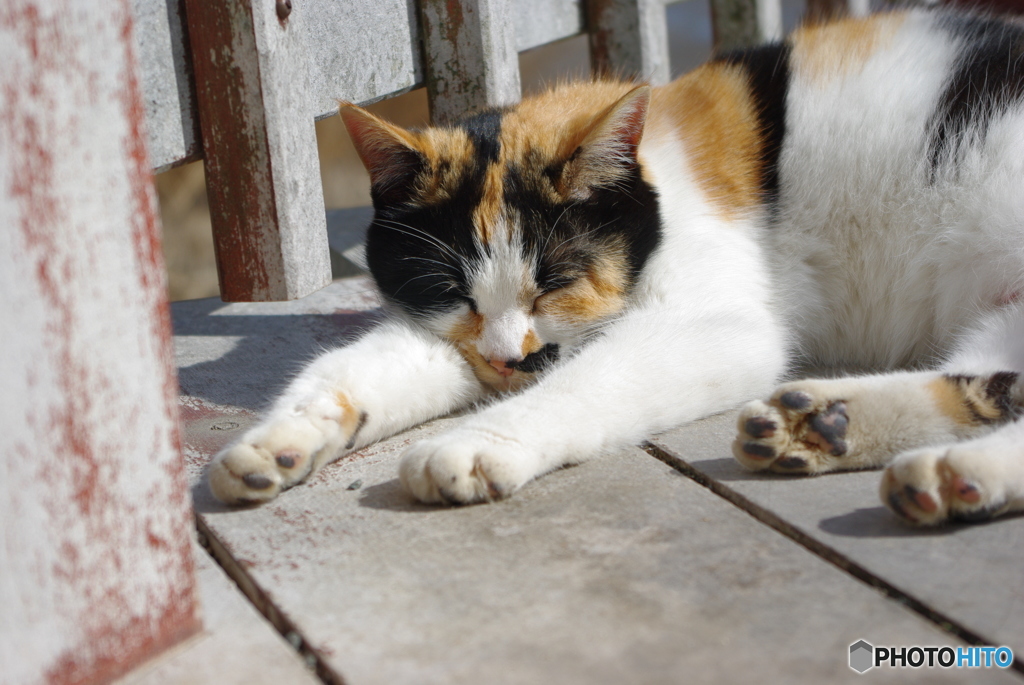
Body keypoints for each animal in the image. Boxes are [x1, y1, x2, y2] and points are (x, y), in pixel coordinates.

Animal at [205, 6, 1024, 524]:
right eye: (452, 289)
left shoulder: (711, 324)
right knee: (991, 383)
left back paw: (948, 470)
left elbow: (586, 383)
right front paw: (278, 443)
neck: (657, 166)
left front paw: (479, 443)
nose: (512, 360)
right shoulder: (453, 336)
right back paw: (829, 428)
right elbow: (352, 372)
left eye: (557, 281)